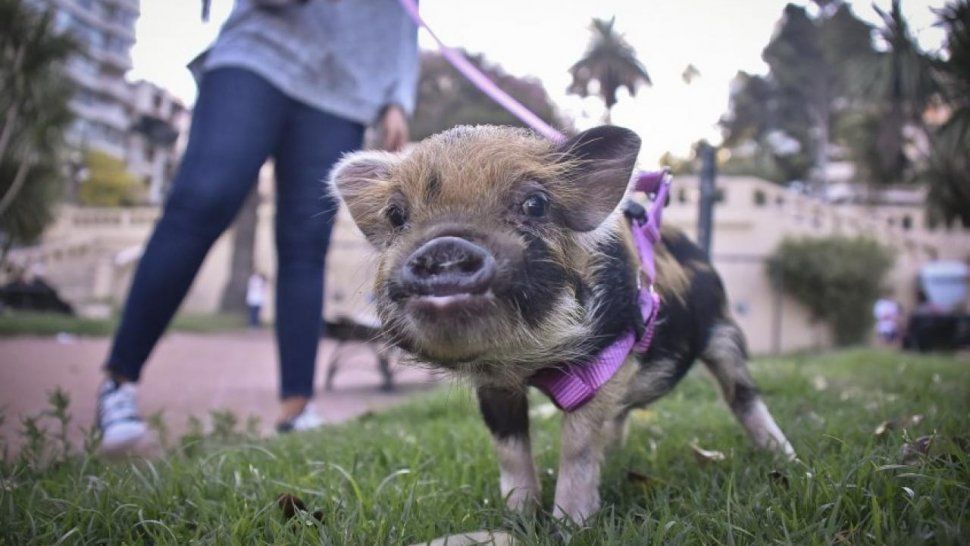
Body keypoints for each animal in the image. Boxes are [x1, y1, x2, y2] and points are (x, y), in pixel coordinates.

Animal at [329, 125, 795, 523]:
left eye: (535, 204)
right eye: (395, 215)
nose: (445, 244)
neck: (533, 361)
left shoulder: (607, 358)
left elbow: (577, 447)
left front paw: (570, 525)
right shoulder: (494, 385)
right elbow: (510, 449)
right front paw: (518, 518)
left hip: (723, 330)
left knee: (743, 395)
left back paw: (787, 460)